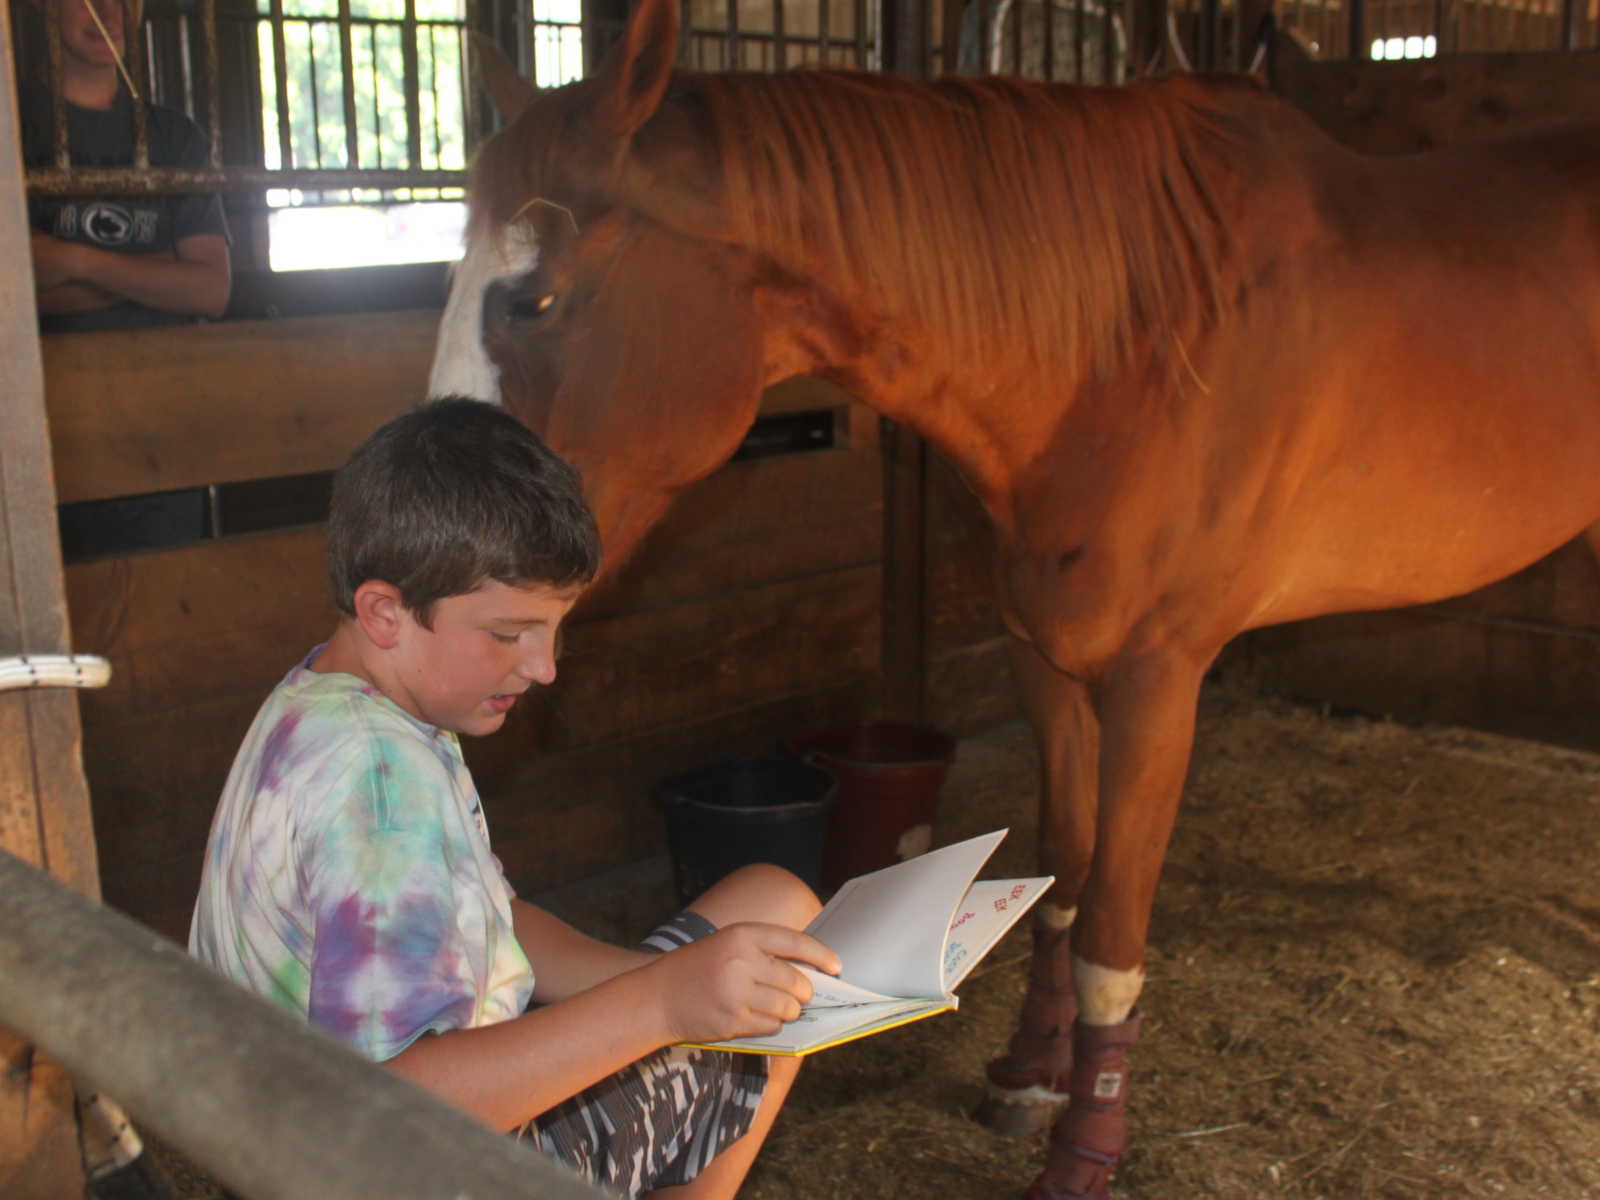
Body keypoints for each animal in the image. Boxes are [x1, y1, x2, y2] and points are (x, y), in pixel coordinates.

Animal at [425, 4, 1600, 1196]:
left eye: (534, 297)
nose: (412, 540)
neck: (1132, 342)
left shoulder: (1160, 680)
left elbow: (1111, 938)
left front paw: (1085, 1150)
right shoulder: (1045, 659)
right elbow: (1063, 881)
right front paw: (1032, 1079)